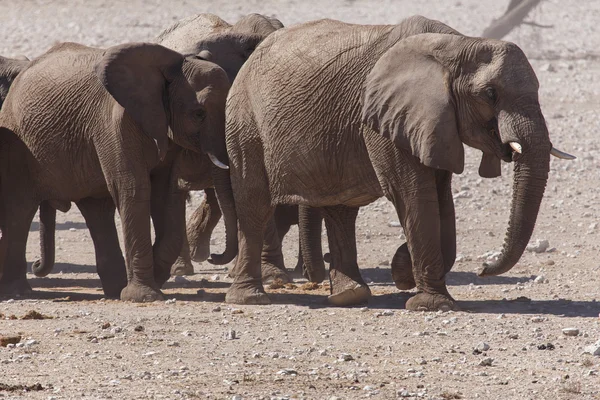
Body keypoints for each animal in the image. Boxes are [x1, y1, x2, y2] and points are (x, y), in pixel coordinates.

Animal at [0, 41, 230, 304]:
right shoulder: (115, 123)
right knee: (21, 207)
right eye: (198, 114)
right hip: (18, 144)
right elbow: (134, 189)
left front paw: (152, 280)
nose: (213, 257)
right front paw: (145, 297)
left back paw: (114, 291)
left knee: (97, 211)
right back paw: (17, 292)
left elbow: (164, 194)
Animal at [210, 14, 572, 310]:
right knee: (254, 202)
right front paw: (430, 304)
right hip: (244, 118)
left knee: (340, 209)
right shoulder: (385, 117)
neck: (458, 45)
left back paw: (349, 295)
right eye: (490, 94)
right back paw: (251, 298)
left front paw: (404, 272)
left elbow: (442, 200)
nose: (483, 269)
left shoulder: (433, 121)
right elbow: (413, 195)